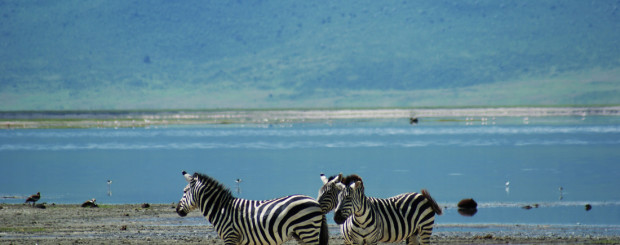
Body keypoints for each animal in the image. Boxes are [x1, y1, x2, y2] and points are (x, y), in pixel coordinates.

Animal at [176, 170, 330, 245]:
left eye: (184, 191)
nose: (177, 210)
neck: (222, 209)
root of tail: (315, 202)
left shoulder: (231, 236)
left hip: (307, 230)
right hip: (301, 234)